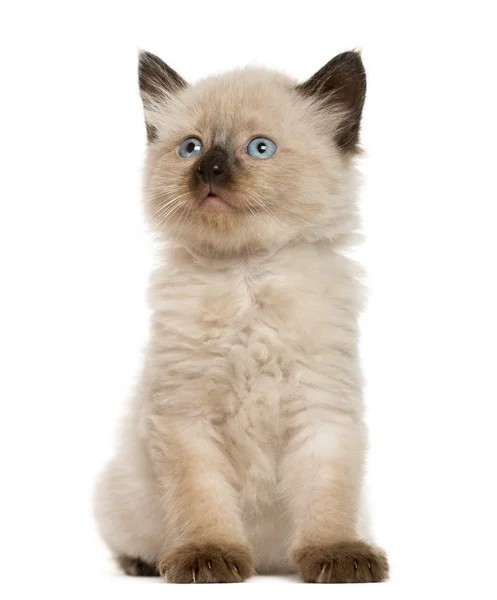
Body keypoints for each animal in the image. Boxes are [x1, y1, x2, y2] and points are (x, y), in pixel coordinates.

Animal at [93, 49, 388, 584]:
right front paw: (206, 558)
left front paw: (337, 556)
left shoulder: (323, 412)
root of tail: (271, 562)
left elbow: (328, 499)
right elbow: (202, 501)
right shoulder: (186, 418)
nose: (209, 169)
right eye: (191, 148)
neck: (247, 274)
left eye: (260, 148)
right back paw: (143, 564)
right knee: (127, 541)